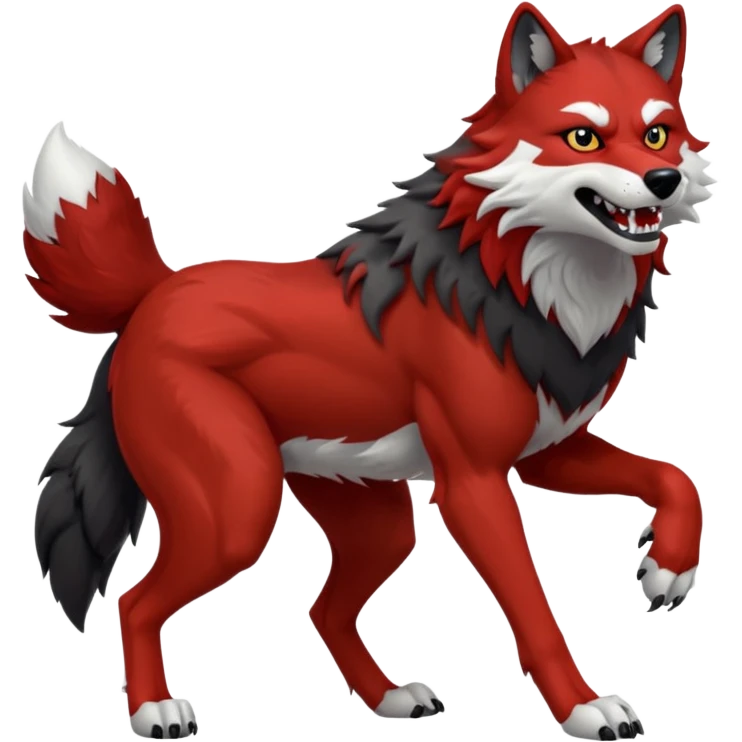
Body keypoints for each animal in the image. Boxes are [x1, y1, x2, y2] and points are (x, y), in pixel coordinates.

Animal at [26, 3, 713, 739]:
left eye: (658, 134)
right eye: (583, 137)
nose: (664, 180)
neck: (523, 285)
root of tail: (157, 289)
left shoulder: (547, 452)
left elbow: (676, 479)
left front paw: (668, 568)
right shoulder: (474, 482)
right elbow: (534, 609)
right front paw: (584, 706)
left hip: (376, 526)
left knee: (321, 609)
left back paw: (389, 698)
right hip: (238, 514)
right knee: (135, 600)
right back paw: (155, 710)